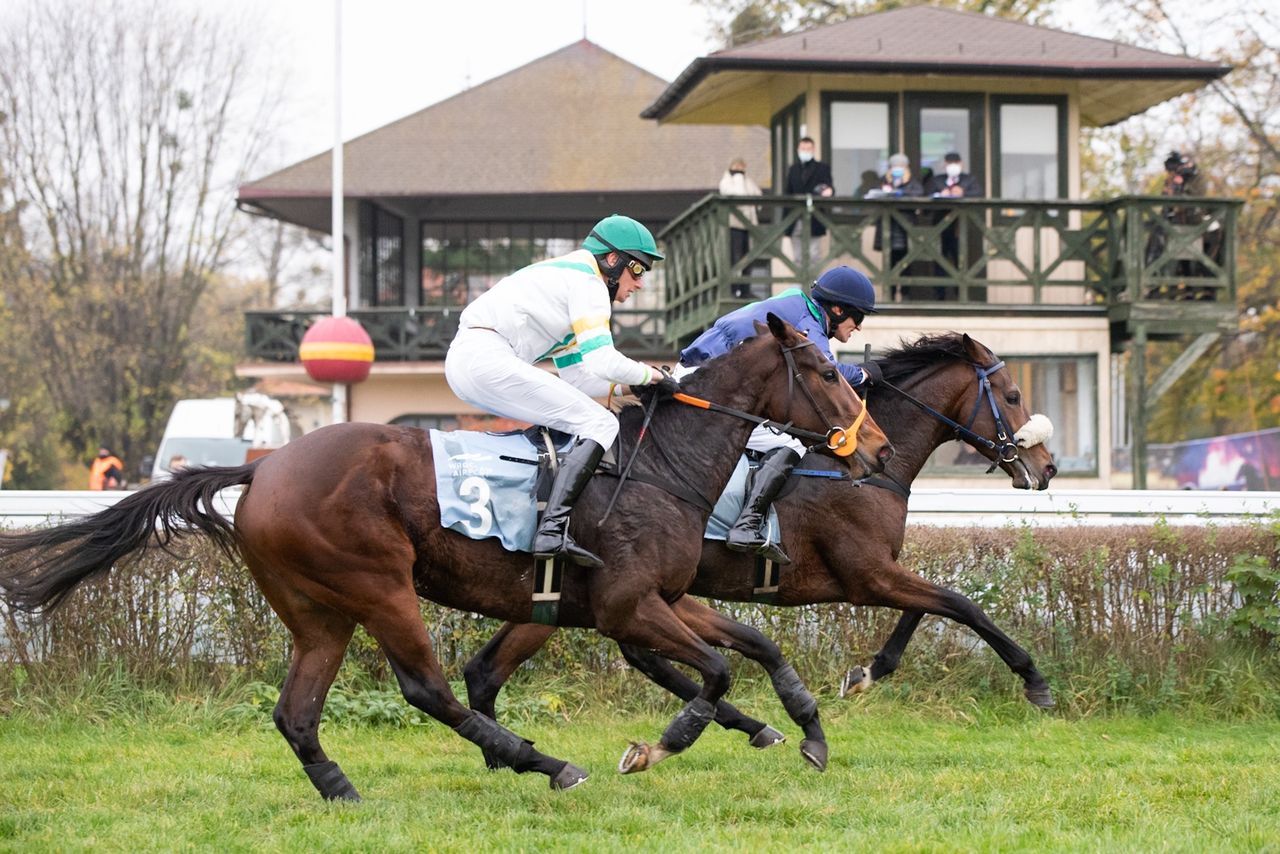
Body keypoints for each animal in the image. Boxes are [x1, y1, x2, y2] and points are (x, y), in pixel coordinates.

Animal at [0, 313, 890, 804]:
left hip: (318, 611)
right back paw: (541, 762)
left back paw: (345, 789)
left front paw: (806, 733)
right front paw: (658, 744)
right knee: (426, 687)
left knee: (298, 712)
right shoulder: (626, 606)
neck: (662, 464)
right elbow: (716, 672)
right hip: (378, 586)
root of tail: (263, 467)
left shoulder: (666, 598)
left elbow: (754, 647)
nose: (877, 448)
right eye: (823, 370)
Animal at [465, 332, 1054, 763]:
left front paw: (867, 673)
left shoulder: (881, 572)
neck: (856, 470)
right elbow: (962, 605)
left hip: (558, 595)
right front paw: (1035, 681)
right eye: (1013, 396)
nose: (1046, 467)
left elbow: (926, 611)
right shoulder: (867, 576)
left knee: (491, 670)